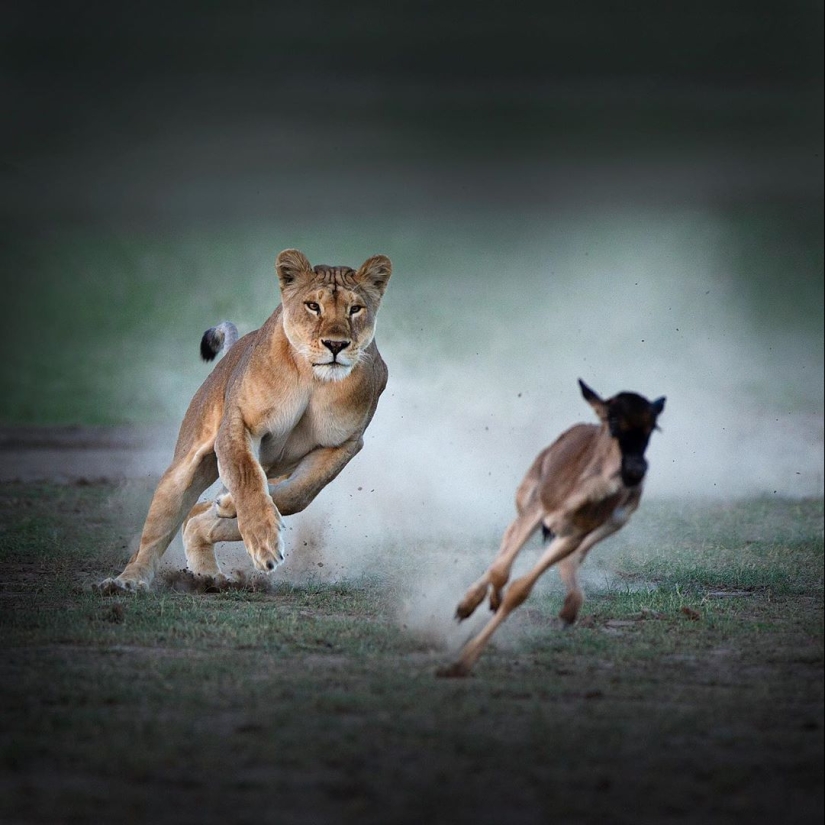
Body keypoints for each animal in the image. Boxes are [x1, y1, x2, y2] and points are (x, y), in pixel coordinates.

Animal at [438, 380, 664, 676]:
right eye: (613, 421)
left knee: (572, 557)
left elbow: (520, 589)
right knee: (507, 539)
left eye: (653, 427)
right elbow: (501, 571)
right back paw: (471, 603)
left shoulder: (574, 533)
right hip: (526, 496)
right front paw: (480, 605)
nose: (636, 471)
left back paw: (569, 607)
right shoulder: (537, 509)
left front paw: (462, 662)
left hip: (617, 519)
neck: (585, 489)